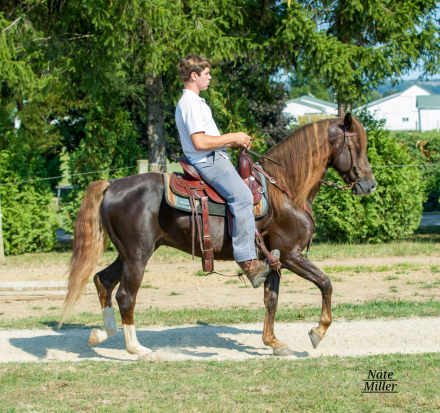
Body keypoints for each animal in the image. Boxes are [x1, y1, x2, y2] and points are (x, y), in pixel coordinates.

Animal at [60, 113, 378, 360]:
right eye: (355, 145)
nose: (369, 185)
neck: (286, 191)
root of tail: (113, 185)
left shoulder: (274, 260)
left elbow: (271, 299)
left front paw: (274, 343)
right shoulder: (290, 255)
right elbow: (325, 283)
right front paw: (318, 331)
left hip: (126, 254)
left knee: (103, 280)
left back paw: (102, 334)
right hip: (138, 255)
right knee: (126, 295)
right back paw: (137, 349)